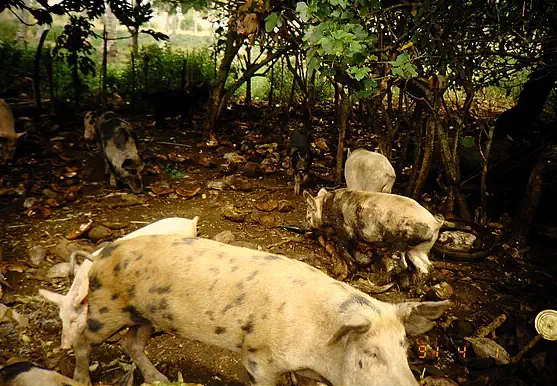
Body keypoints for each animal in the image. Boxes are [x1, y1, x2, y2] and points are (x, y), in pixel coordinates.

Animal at [67, 235, 450, 386]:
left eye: (404, 349)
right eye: (370, 353)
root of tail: (99, 255)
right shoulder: (258, 358)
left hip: (145, 314)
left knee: (132, 343)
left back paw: (159, 379)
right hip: (105, 310)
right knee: (83, 340)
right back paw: (82, 380)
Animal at [304, 188, 444, 274]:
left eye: (308, 215)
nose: (304, 226)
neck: (326, 207)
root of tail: (435, 223)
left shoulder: (344, 229)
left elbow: (341, 246)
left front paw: (353, 267)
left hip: (400, 243)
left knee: (402, 265)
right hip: (421, 248)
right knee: (427, 266)